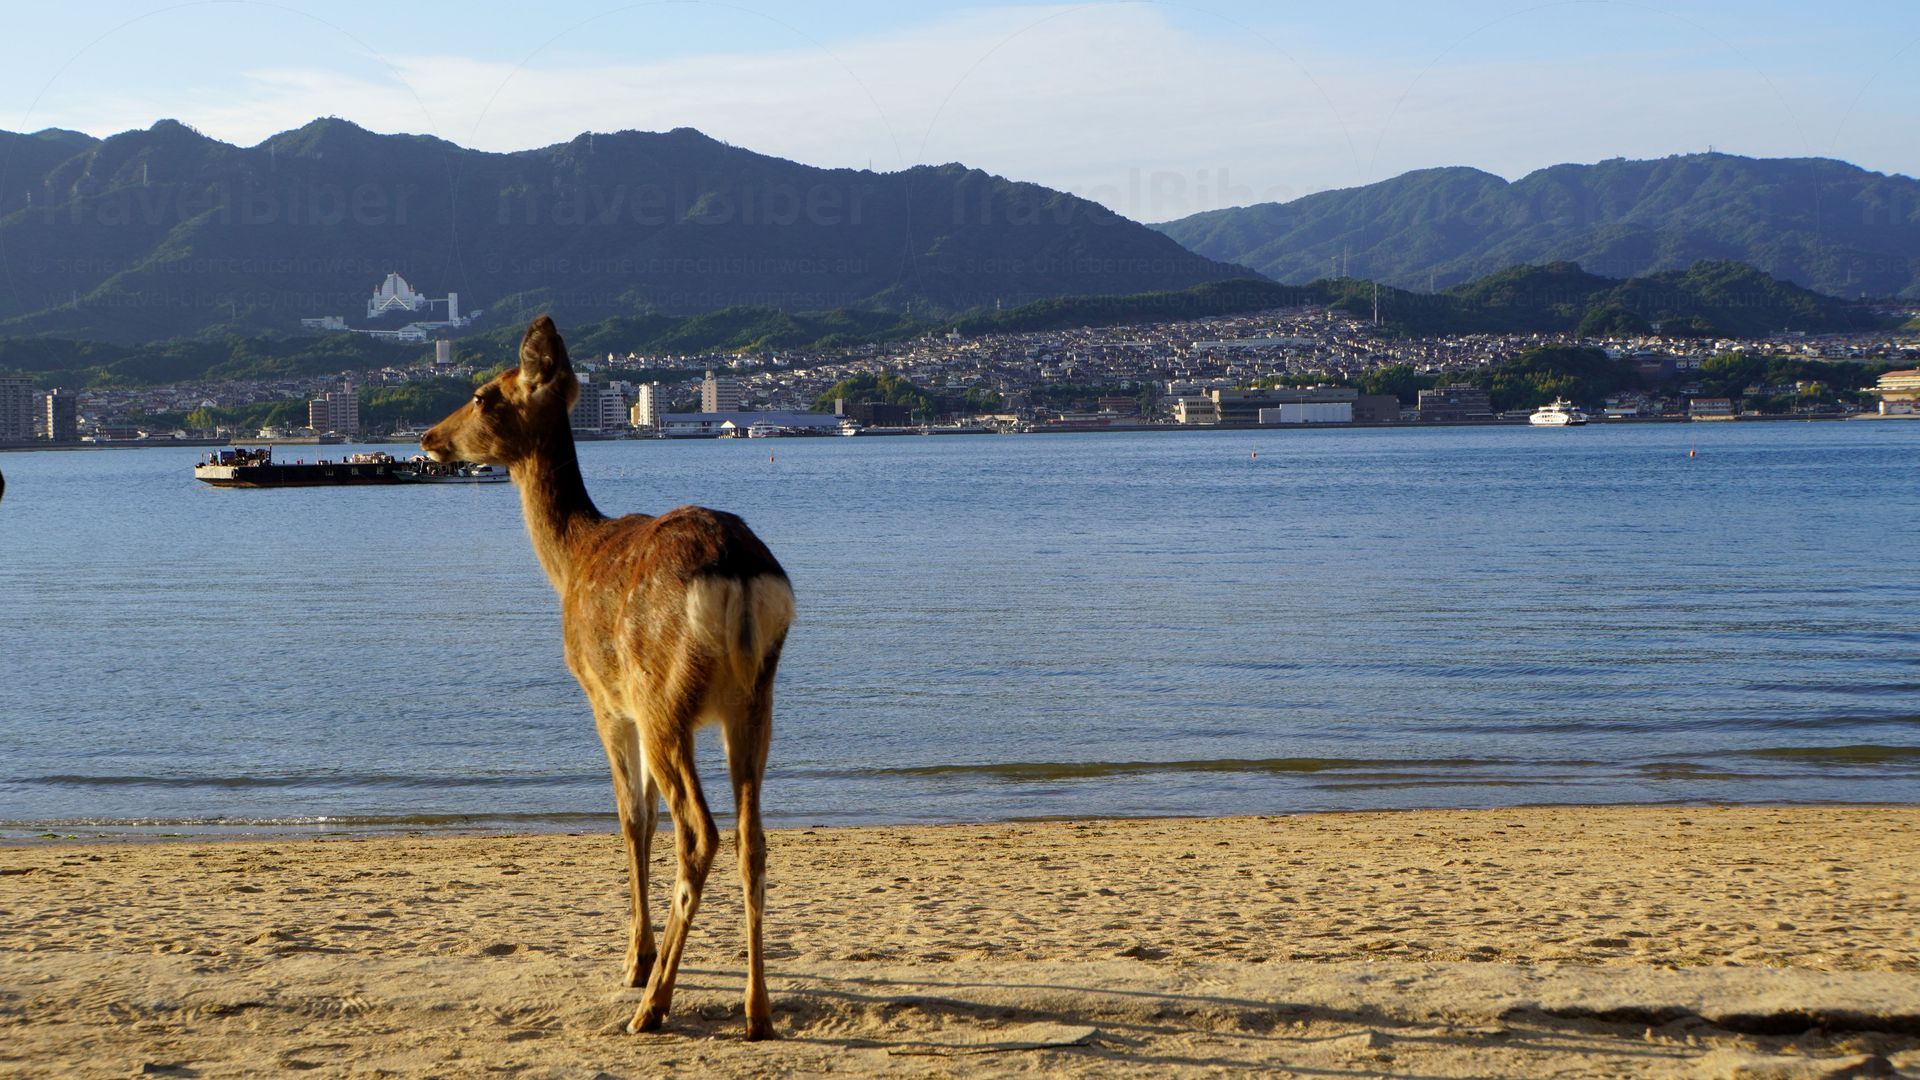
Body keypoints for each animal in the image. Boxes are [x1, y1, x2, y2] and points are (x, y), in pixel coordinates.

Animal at [422, 315, 793, 1040]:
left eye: (484, 395)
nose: (427, 437)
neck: (571, 560)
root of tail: (739, 574)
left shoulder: (605, 700)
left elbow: (630, 819)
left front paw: (634, 961)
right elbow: (644, 819)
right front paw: (641, 956)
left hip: (664, 698)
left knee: (698, 832)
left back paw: (654, 1006)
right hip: (755, 700)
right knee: (754, 840)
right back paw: (757, 1012)